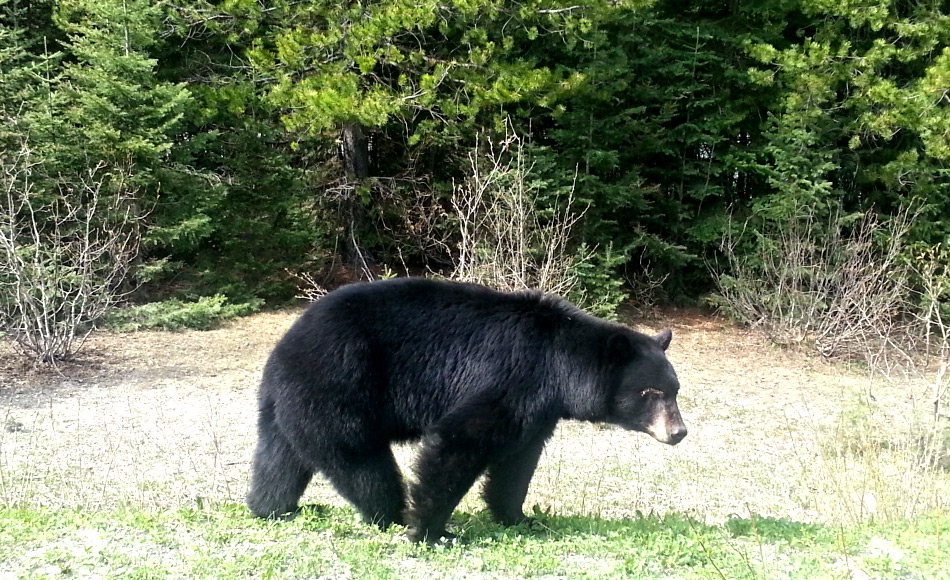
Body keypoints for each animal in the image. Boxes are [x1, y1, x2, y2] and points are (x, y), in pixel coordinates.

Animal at [249, 278, 688, 540]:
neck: (558, 366)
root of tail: (284, 347)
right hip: (340, 386)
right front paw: (431, 530)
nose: (679, 432)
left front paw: (520, 517)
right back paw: (391, 514)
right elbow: (459, 441)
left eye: (675, 390)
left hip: (291, 405)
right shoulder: (510, 378)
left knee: (279, 458)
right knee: (361, 462)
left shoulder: (536, 408)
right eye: (651, 392)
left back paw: (272, 508)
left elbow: (518, 460)